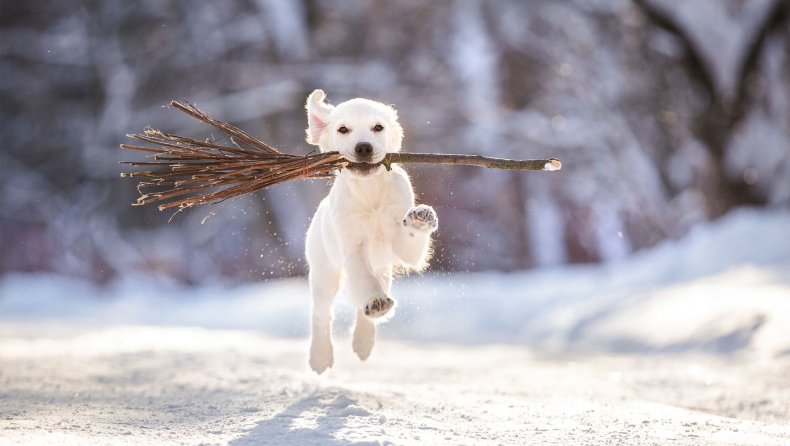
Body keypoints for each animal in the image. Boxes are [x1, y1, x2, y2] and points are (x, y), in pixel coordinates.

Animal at [304, 89, 440, 372]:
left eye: (378, 127)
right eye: (343, 129)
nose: (364, 147)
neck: (370, 193)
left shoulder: (400, 247)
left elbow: (411, 240)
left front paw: (420, 219)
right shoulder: (352, 249)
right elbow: (364, 281)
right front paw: (376, 302)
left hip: (383, 270)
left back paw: (363, 342)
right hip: (324, 272)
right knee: (322, 312)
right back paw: (320, 357)